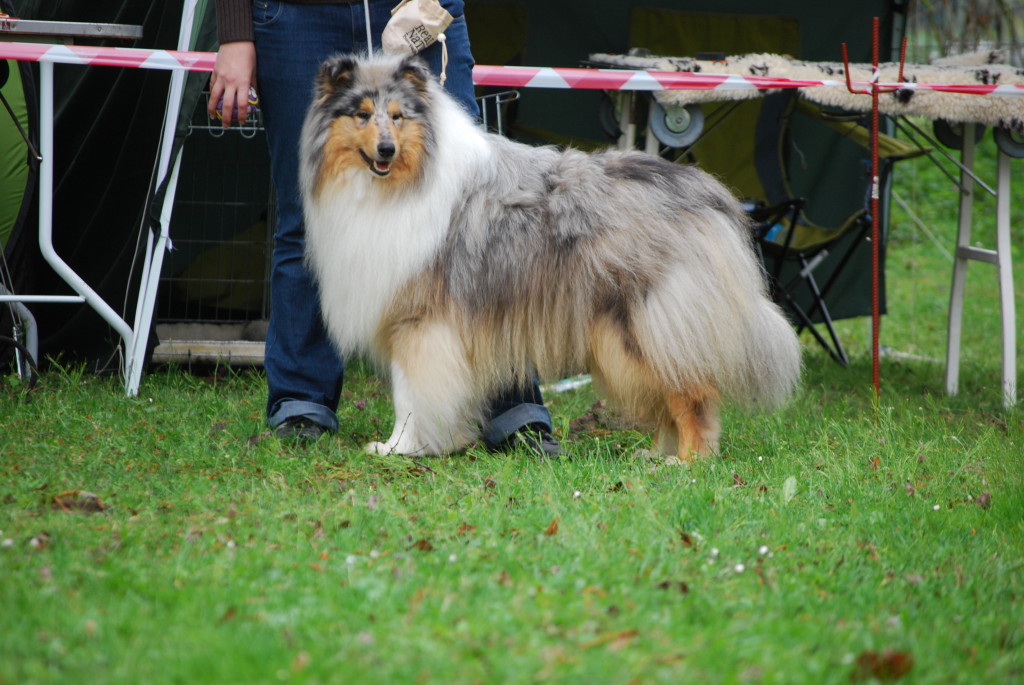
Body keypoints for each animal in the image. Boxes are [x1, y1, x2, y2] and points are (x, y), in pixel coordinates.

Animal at [296, 52, 798, 458]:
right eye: (362, 115)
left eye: (398, 116)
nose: (385, 150)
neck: (404, 180)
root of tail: (704, 189)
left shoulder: (418, 321)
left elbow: (409, 395)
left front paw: (400, 448)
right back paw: (656, 456)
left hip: (645, 326)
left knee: (692, 394)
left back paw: (688, 464)